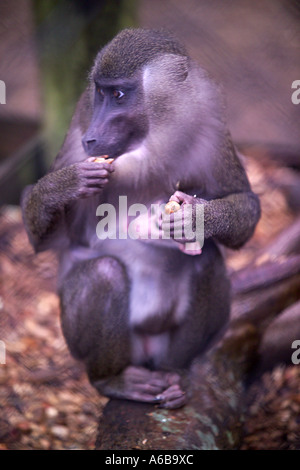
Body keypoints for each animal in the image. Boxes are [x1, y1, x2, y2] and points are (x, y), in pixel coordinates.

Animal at [21, 29, 260, 410]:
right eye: (100, 92)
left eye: (119, 94)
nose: (92, 137)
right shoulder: (77, 130)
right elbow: (49, 240)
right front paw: (64, 185)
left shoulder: (209, 125)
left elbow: (244, 202)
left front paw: (200, 217)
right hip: (84, 343)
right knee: (104, 273)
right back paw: (112, 380)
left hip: (163, 345)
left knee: (207, 259)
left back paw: (175, 374)